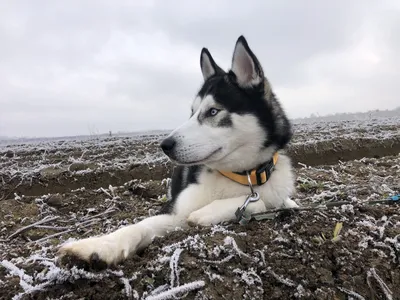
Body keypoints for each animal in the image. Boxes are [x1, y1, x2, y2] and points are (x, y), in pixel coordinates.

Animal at [57, 35, 298, 268]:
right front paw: (100, 246)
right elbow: (138, 227)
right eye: (192, 112)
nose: (165, 145)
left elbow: (260, 201)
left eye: (213, 111)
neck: (241, 176)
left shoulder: (268, 192)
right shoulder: (175, 211)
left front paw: (207, 213)